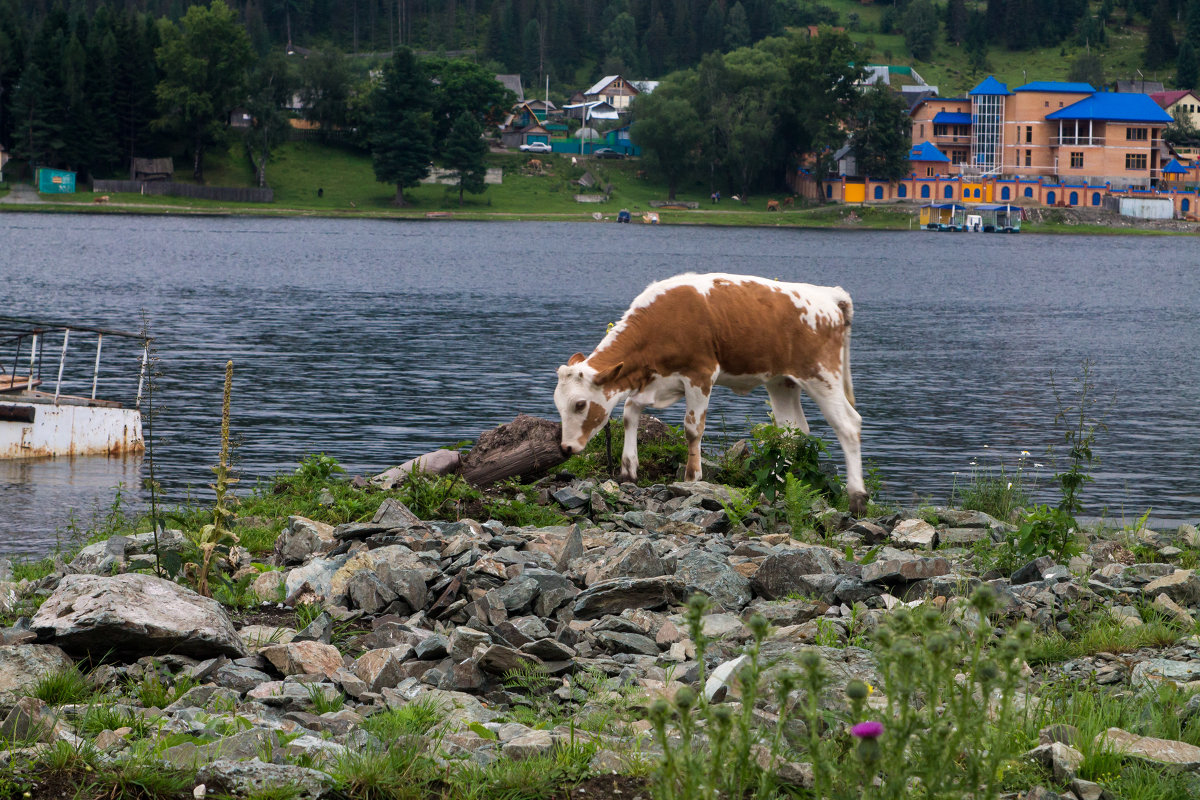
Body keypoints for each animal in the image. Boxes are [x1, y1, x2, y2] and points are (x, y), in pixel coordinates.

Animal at [556, 273, 868, 513]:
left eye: (580, 404)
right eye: (558, 404)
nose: (566, 447)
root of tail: (830, 295)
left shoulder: (700, 373)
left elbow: (692, 429)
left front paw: (692, 477)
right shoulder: (660, 381)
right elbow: (630, 413)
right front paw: (628, 469)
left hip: (822, 374)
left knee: (848, 424)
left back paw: (857, 498)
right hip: (782, 381)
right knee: (792, 432)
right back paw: (777, 489)